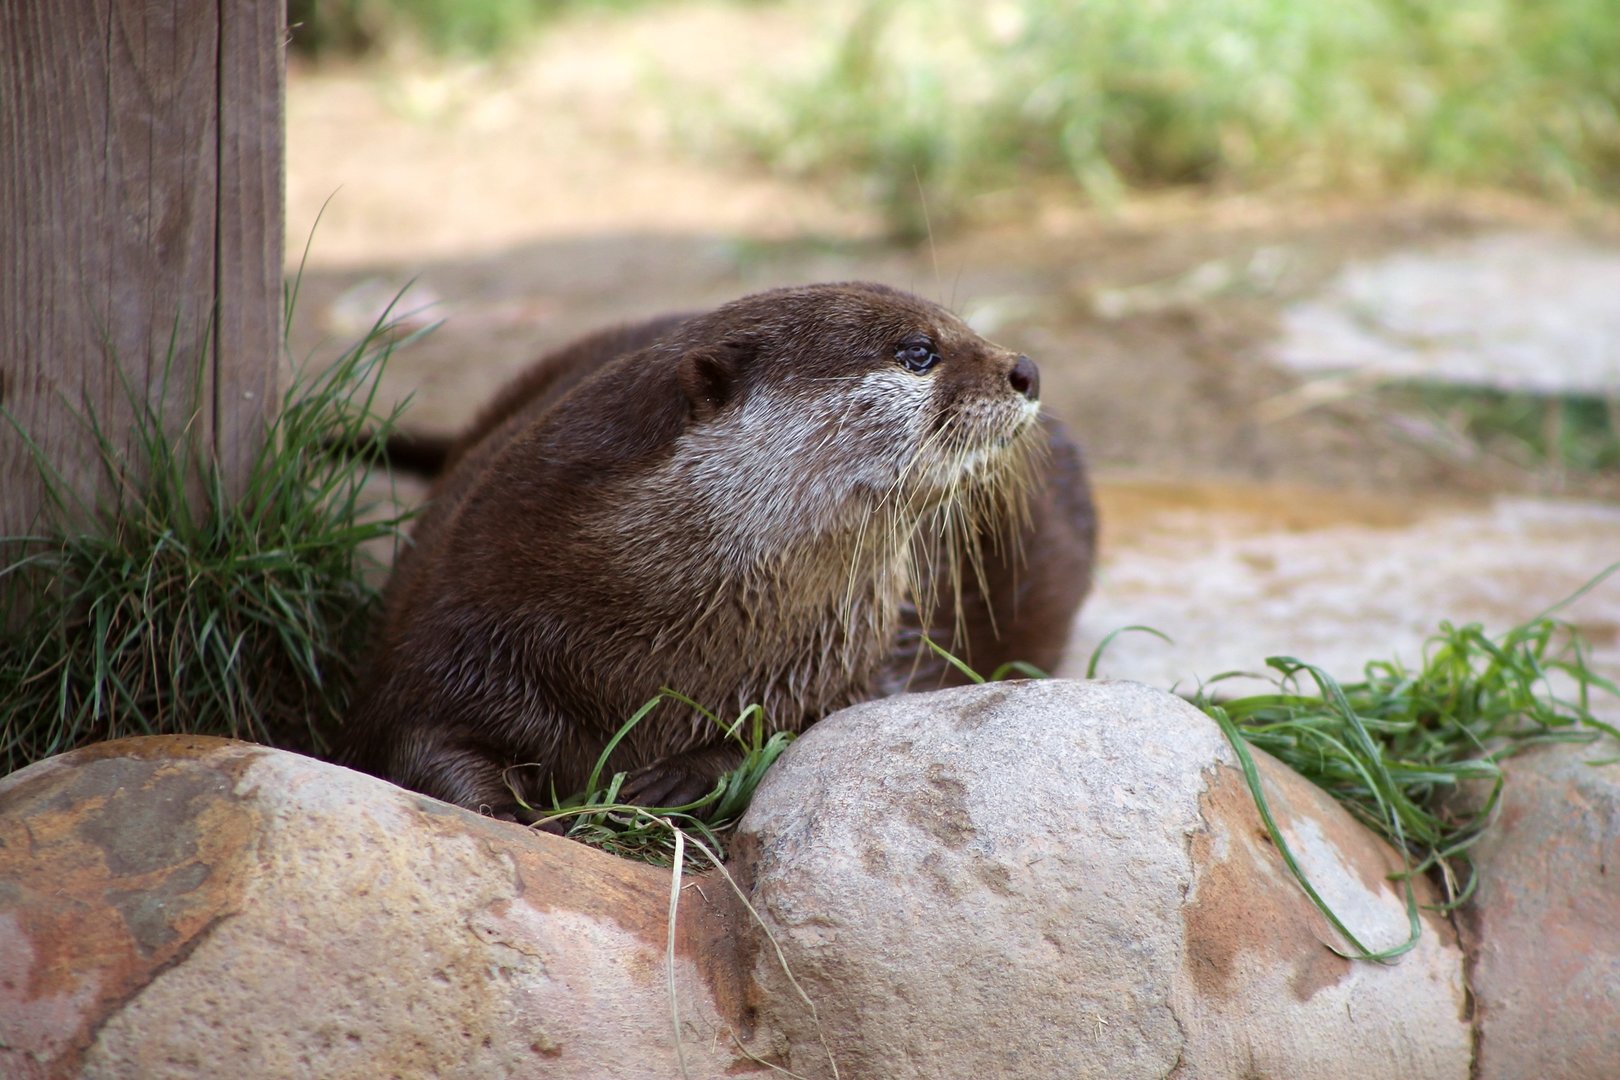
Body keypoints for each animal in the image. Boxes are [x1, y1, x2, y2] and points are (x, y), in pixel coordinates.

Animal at [341, 282, 1096, 818]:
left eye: (963, 326)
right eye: (918, 351)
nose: (1025, 369)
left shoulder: (851, 667)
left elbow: (801, 735)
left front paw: (685, 773)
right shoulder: (446, 630)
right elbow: (417, 746)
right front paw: (515, 813)